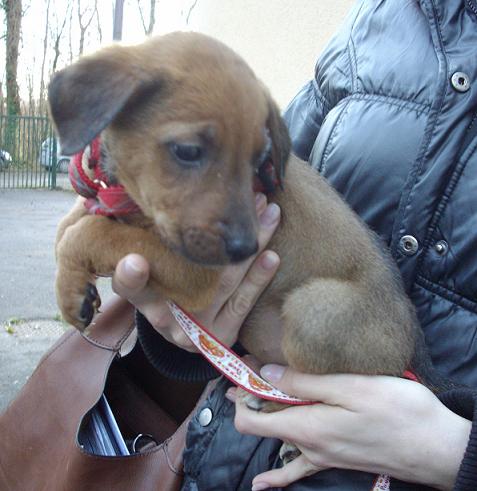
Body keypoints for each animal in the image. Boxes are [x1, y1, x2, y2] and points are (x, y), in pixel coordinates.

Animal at [50, 32, 430, 404]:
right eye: (188, 151)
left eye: (259, 159)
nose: (245, 248)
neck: (129, 200)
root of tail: (405, 361)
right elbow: (68, 226)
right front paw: (72, 291)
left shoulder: (195, 271)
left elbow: (89, 233)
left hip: (312, 311)